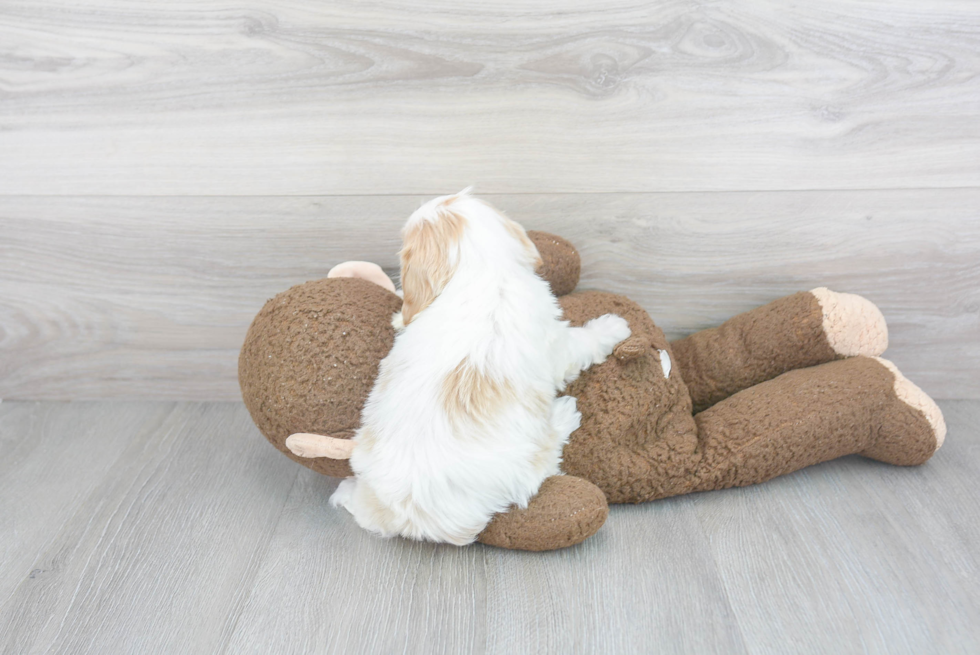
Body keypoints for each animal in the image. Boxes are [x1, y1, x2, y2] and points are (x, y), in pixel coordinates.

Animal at [330, 191, 632, 548]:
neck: (482, 271)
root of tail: (410, 514)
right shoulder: (555, 344)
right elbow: (582, 344)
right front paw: (612, 327)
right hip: (527, 464)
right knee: (547, 457)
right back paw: (565, 415)